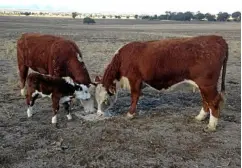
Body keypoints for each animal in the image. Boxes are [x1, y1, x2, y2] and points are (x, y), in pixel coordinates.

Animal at [95, 35, 229, 132]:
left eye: (105, 100)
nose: (99, 114)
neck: (123, 58)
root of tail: (218, 38)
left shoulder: (135, 80)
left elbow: (134, 97)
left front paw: (130, 114)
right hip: (202, 85)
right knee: (206, 101)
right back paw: (200, 117)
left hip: (207, 85)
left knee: (213, 102)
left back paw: (211, 126)